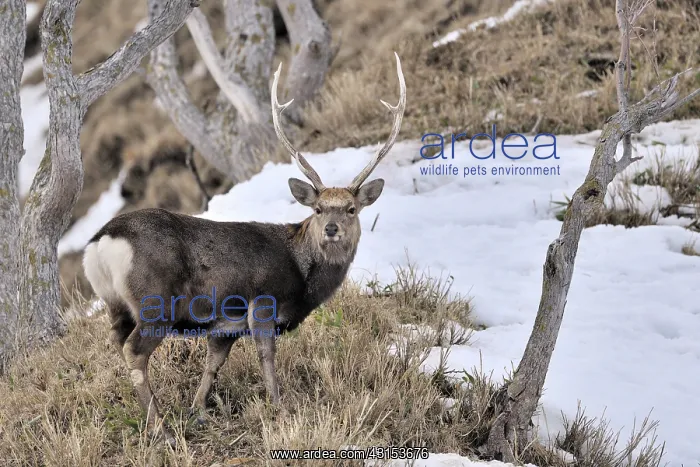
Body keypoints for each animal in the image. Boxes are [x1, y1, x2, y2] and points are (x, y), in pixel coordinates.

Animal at [82, 52, 406, 444]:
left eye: (351, 209)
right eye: (317, 209)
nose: (331, 229)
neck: (302, 276)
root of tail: (101, 242)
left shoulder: (224, 328)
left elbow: (212, 366)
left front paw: (198, 411)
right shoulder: (263, 303)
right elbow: (266, 357)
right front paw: (280, 409)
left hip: (116, 304)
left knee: (118, 342)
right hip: (155, 302)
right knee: (134, 351)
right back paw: (161, 429)